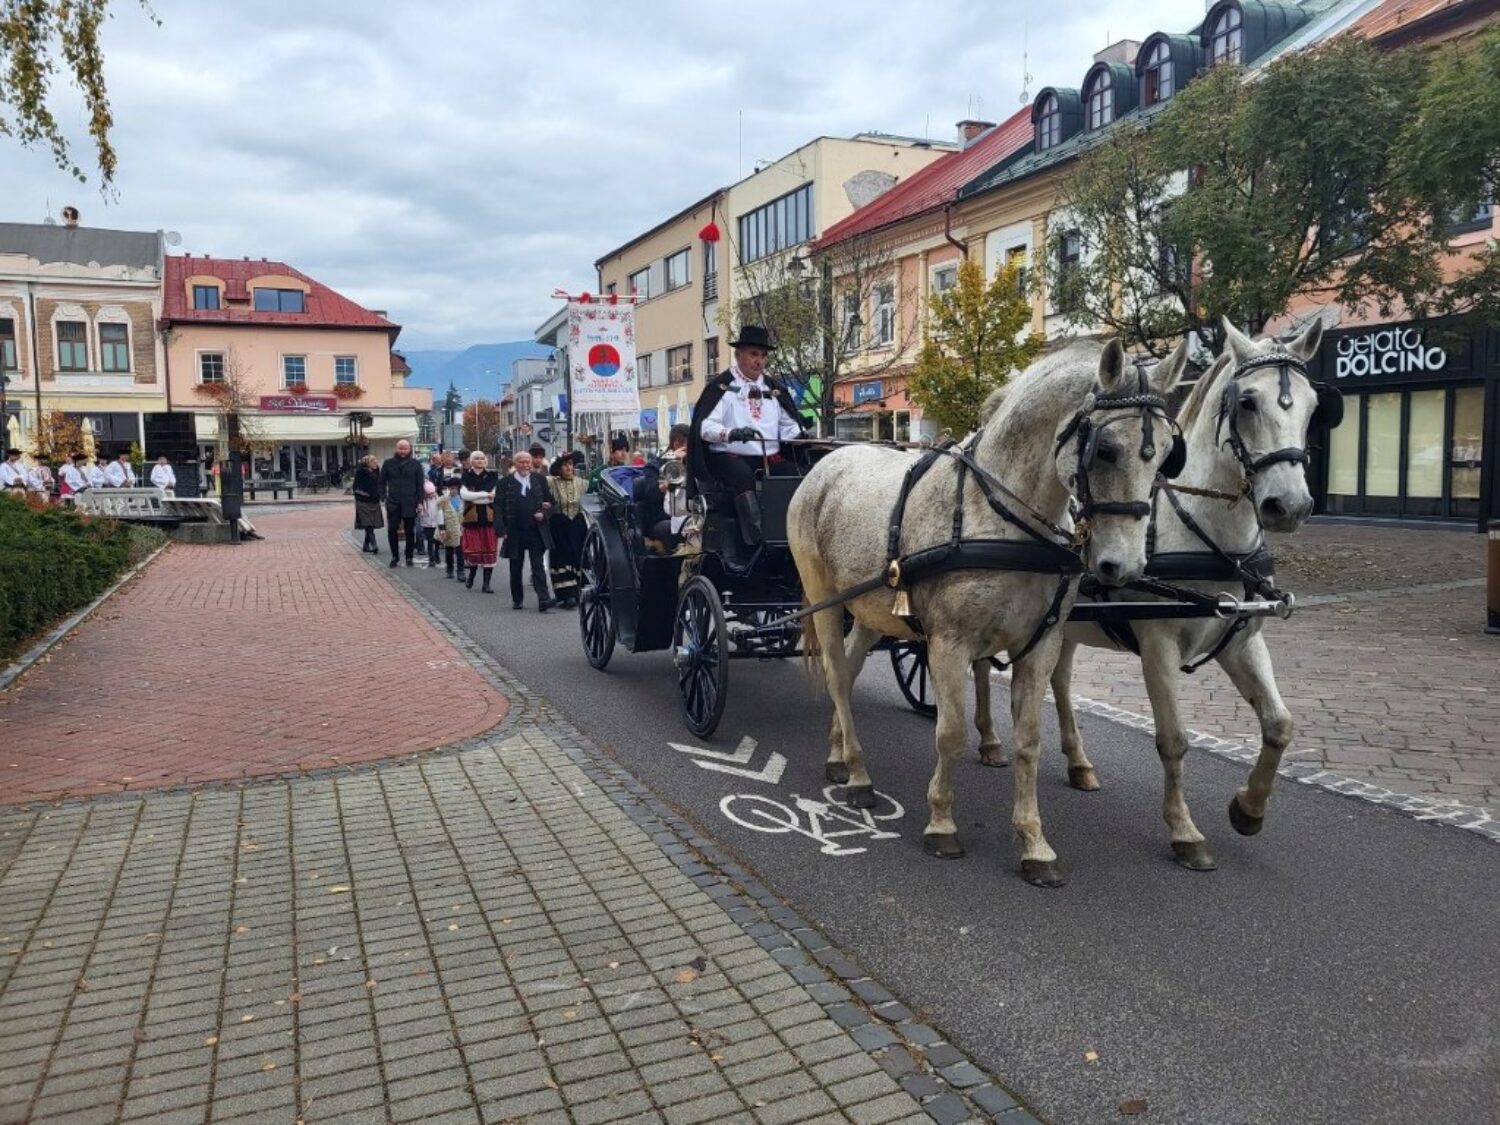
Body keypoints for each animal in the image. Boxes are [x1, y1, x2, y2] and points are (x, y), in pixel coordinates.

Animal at [792, 339, 1188, 888]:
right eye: (1105, 450)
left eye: (1168, 456)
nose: (1123, 567)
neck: (1002, 517)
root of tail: (827, 462)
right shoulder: (948, 645)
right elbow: (951, 733)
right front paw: (941, 823)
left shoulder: (1039, 646)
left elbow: (1028, 740)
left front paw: (1033, 843)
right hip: (824, 598)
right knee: (833, 671)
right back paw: (858, 774)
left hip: (870, 611)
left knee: (846, 677)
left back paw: (839, 757)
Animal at [972, 319, 1338, 870]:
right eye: (1247, 402)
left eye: (1315, 406)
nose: (1289, 505)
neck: (1205, 536)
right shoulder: (1158, 645)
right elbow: (1174, 739)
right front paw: (1185, 831)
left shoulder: (1241, 639)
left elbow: (1279, 724)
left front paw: (1249, 808)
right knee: (979, 667)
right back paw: (991, 740)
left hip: (1066, 627)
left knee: (1059, 681)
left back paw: (1078, 762)